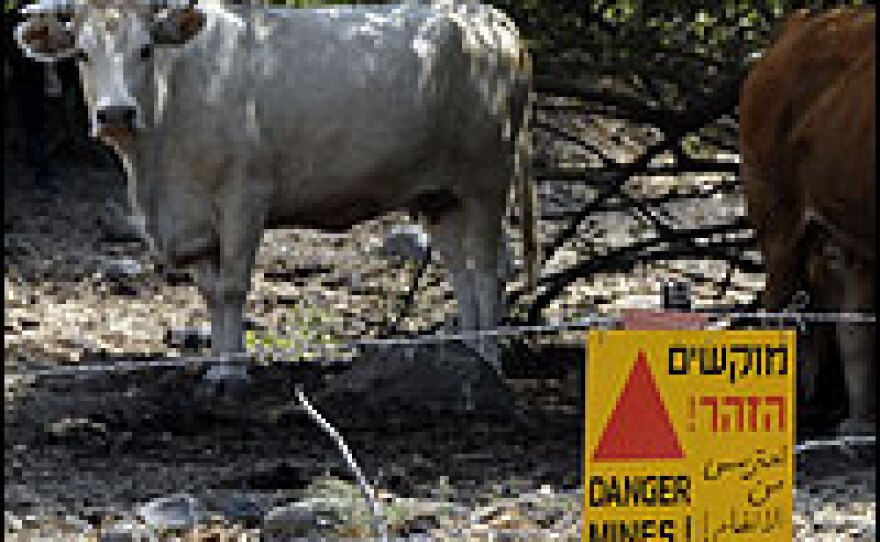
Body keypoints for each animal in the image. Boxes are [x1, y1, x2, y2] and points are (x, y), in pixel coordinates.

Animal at [14, 0, 538, 395]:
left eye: (145, 49)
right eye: (82, 54)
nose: (116, 113)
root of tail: (492, 18)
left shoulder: (245, 196)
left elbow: (231, 288)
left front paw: (232, 374)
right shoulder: (194, 220)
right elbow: (211, 293)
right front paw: (216, 366)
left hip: (488, 177)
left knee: (490, 270)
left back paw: (489, 360)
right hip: (439, 194)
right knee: (461, 272)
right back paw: (467, 358)